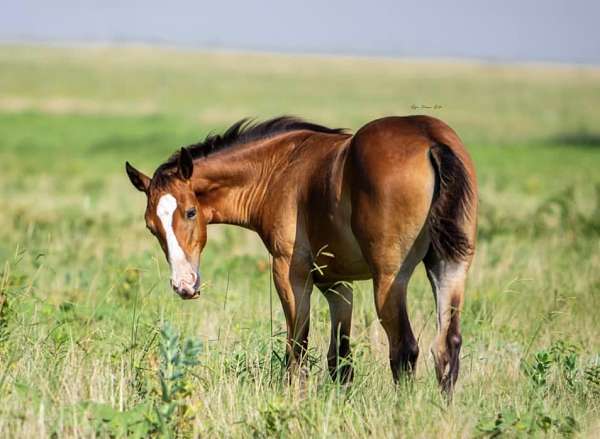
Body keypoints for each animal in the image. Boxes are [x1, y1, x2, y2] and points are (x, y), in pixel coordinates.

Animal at [126, 116, 478, 392]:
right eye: (151, 226)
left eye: (189, 212)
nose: (183, 285)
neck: (279, 168)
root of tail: (430, 141)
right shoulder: (337, 285)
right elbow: (340, 360)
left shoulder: (290, 273)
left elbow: (298, 346)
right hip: (449, 267)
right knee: (446, 346)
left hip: (390, 279)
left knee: (404, 349)